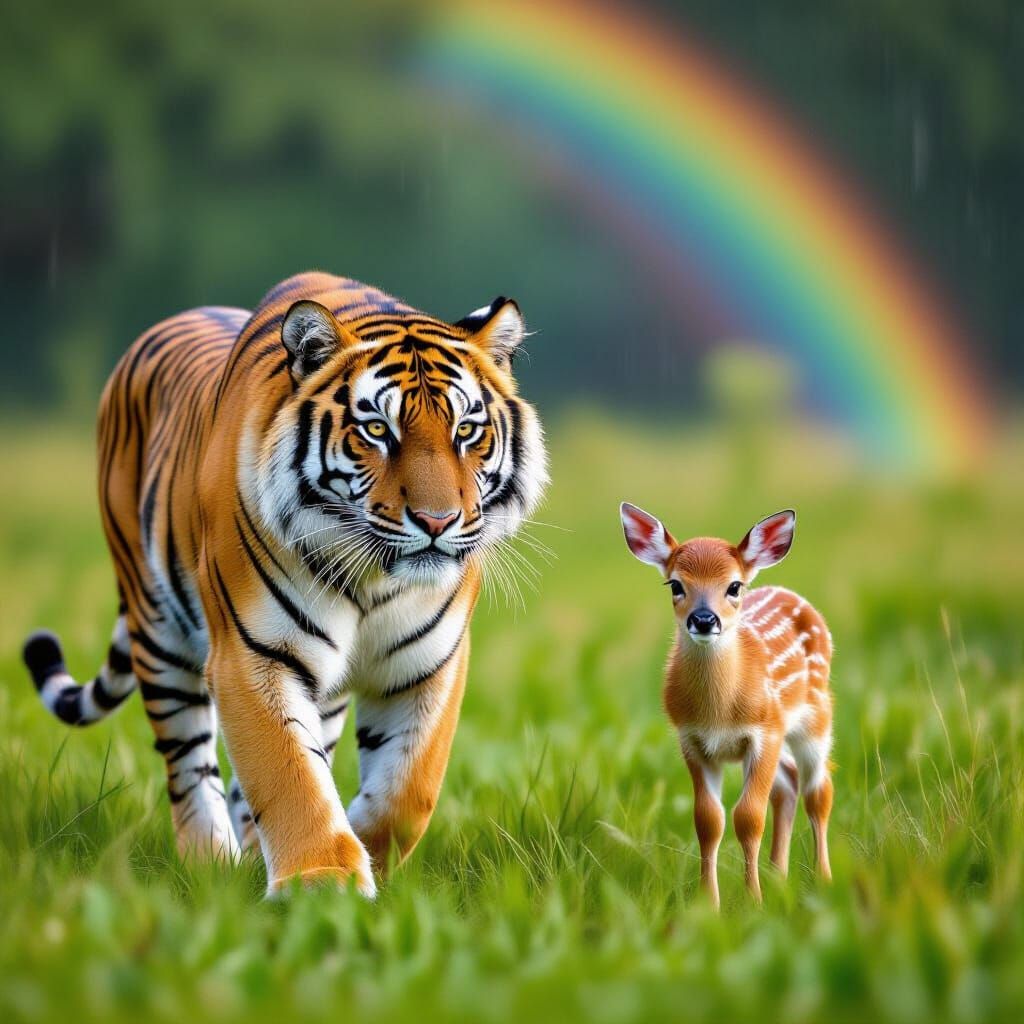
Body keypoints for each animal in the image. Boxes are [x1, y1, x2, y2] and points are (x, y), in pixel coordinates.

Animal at [22, 271, 547, 896]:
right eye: (377, 430)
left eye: (466, 430)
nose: (437, 521)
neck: (375, 581)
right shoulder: (252, 654)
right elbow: (288, 773)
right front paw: (325, 885)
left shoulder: (429, 664)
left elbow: (408, 789)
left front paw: (363, 856)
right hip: (159, 631)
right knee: (189, 764)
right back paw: (210, 862)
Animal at [620, 503, 833, 908]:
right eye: (676, 584)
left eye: (734, 586)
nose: (704, 620)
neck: (718, 713)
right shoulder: (691, 740)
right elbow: (708, 820)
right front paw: (709, 903)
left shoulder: (766, 731)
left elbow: (748, 817)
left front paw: (753, 901)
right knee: (789, 783)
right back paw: (779, 877)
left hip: (816, 716)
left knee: (819, 790)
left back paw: (825, 880)